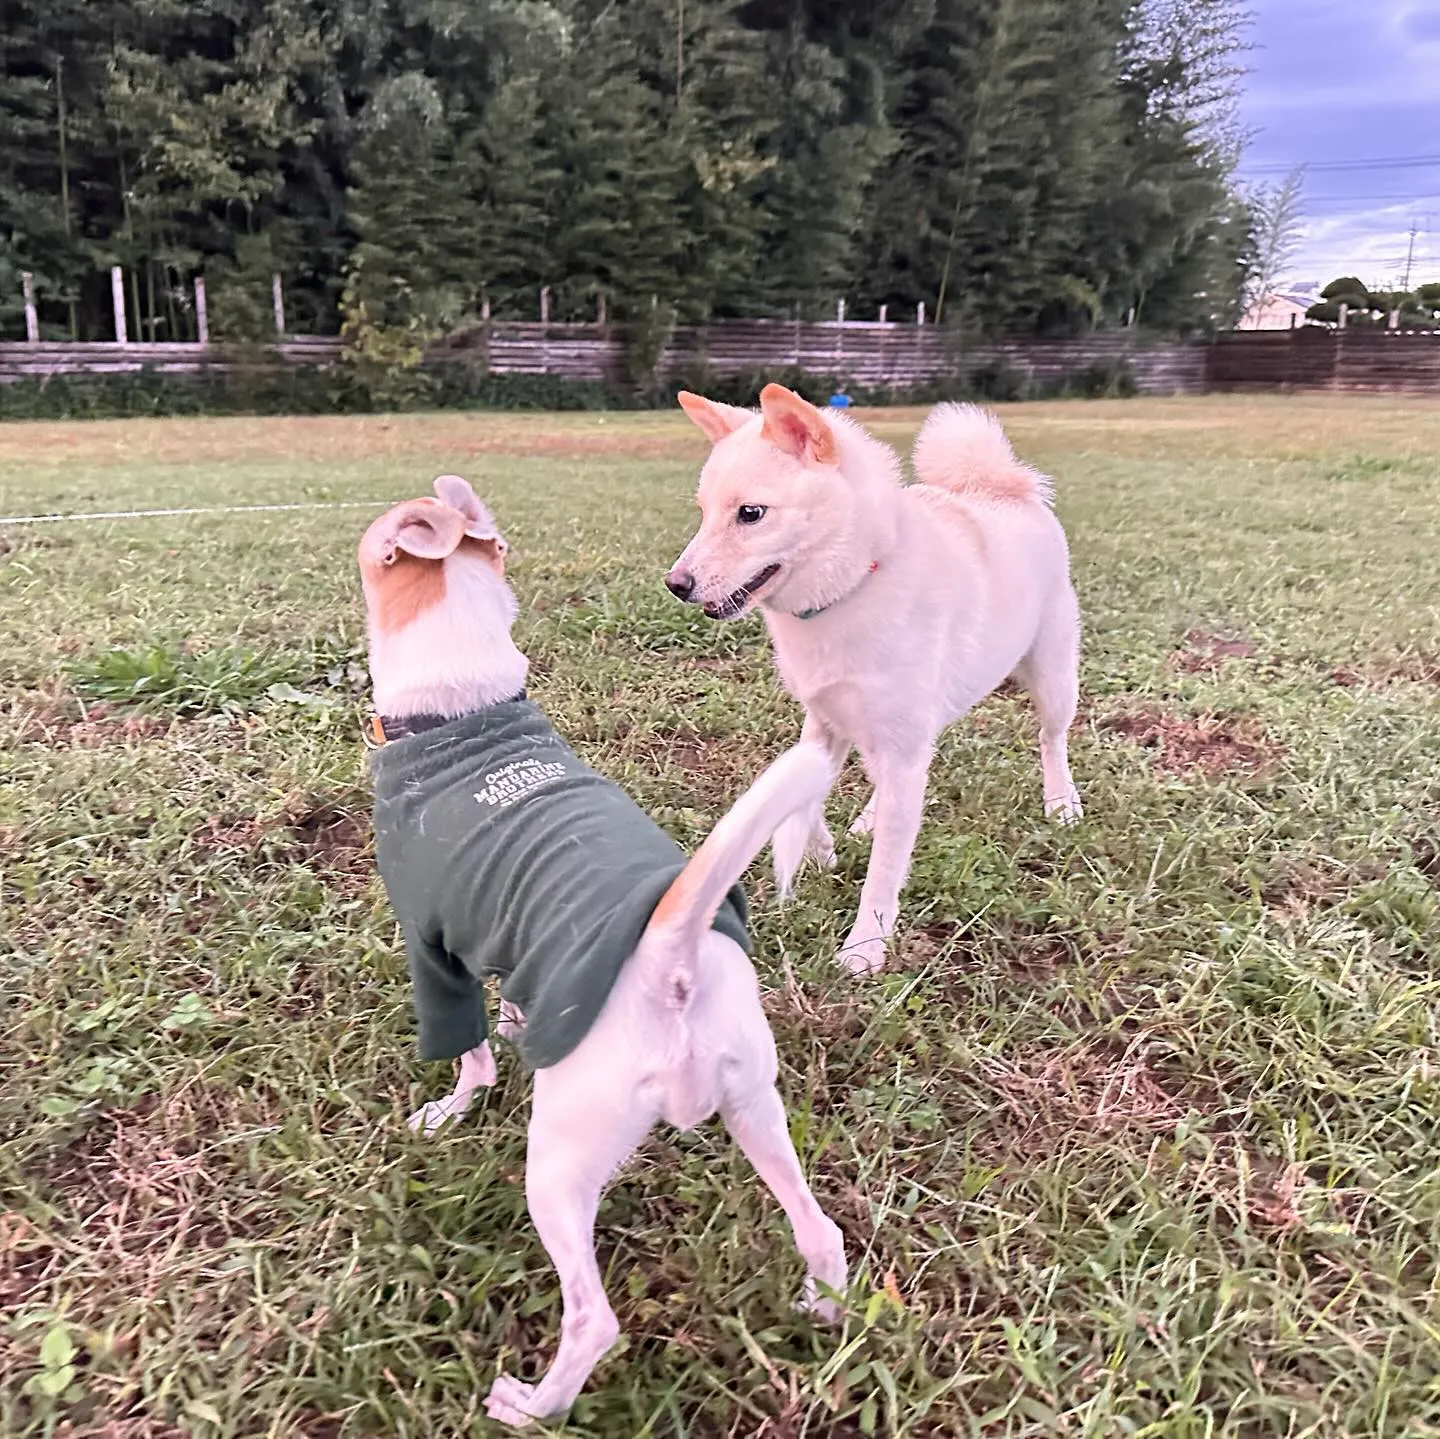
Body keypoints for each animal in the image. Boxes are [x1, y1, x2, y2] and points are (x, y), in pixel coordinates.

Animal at [360, 475, 846, 1428]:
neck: (466, 705)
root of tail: (669, 957)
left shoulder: (432, 948)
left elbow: (465, 1049)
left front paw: (449, 1108)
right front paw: (517, 1021)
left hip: (560, 1160)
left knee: (593, 1317)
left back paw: (529, 1404)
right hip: (756, 1104)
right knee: (821, 1226)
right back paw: (822, 1305)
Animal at [662, 388, 1082, 979]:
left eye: (750, 514)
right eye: (703, 512)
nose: (676, 585)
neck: (854, 584)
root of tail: (1004, 487)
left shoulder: (901, 747)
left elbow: (884, 869)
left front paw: (865, 947)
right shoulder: (825, 721)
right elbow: (807, 798)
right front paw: (821, 854)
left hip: (1051, 678)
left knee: (1051, 739)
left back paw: (1061, 802)